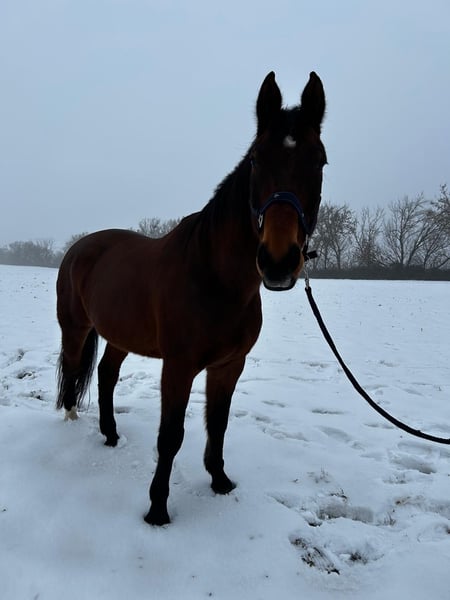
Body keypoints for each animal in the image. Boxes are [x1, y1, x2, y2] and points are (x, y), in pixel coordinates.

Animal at [56, 71, 327, 526]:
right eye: (257, 159)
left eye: (320, 161)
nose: (277, 261)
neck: (215, 278)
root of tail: (81, 247)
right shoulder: (179, 367)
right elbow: (171, 435)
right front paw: (157, 509)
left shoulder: (229, 365)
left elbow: (217, 423)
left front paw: (220, 481)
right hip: (75, 329)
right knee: (74, 371)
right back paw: (71, 420)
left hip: (119, 335)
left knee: (107, 375)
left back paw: (110, 434)